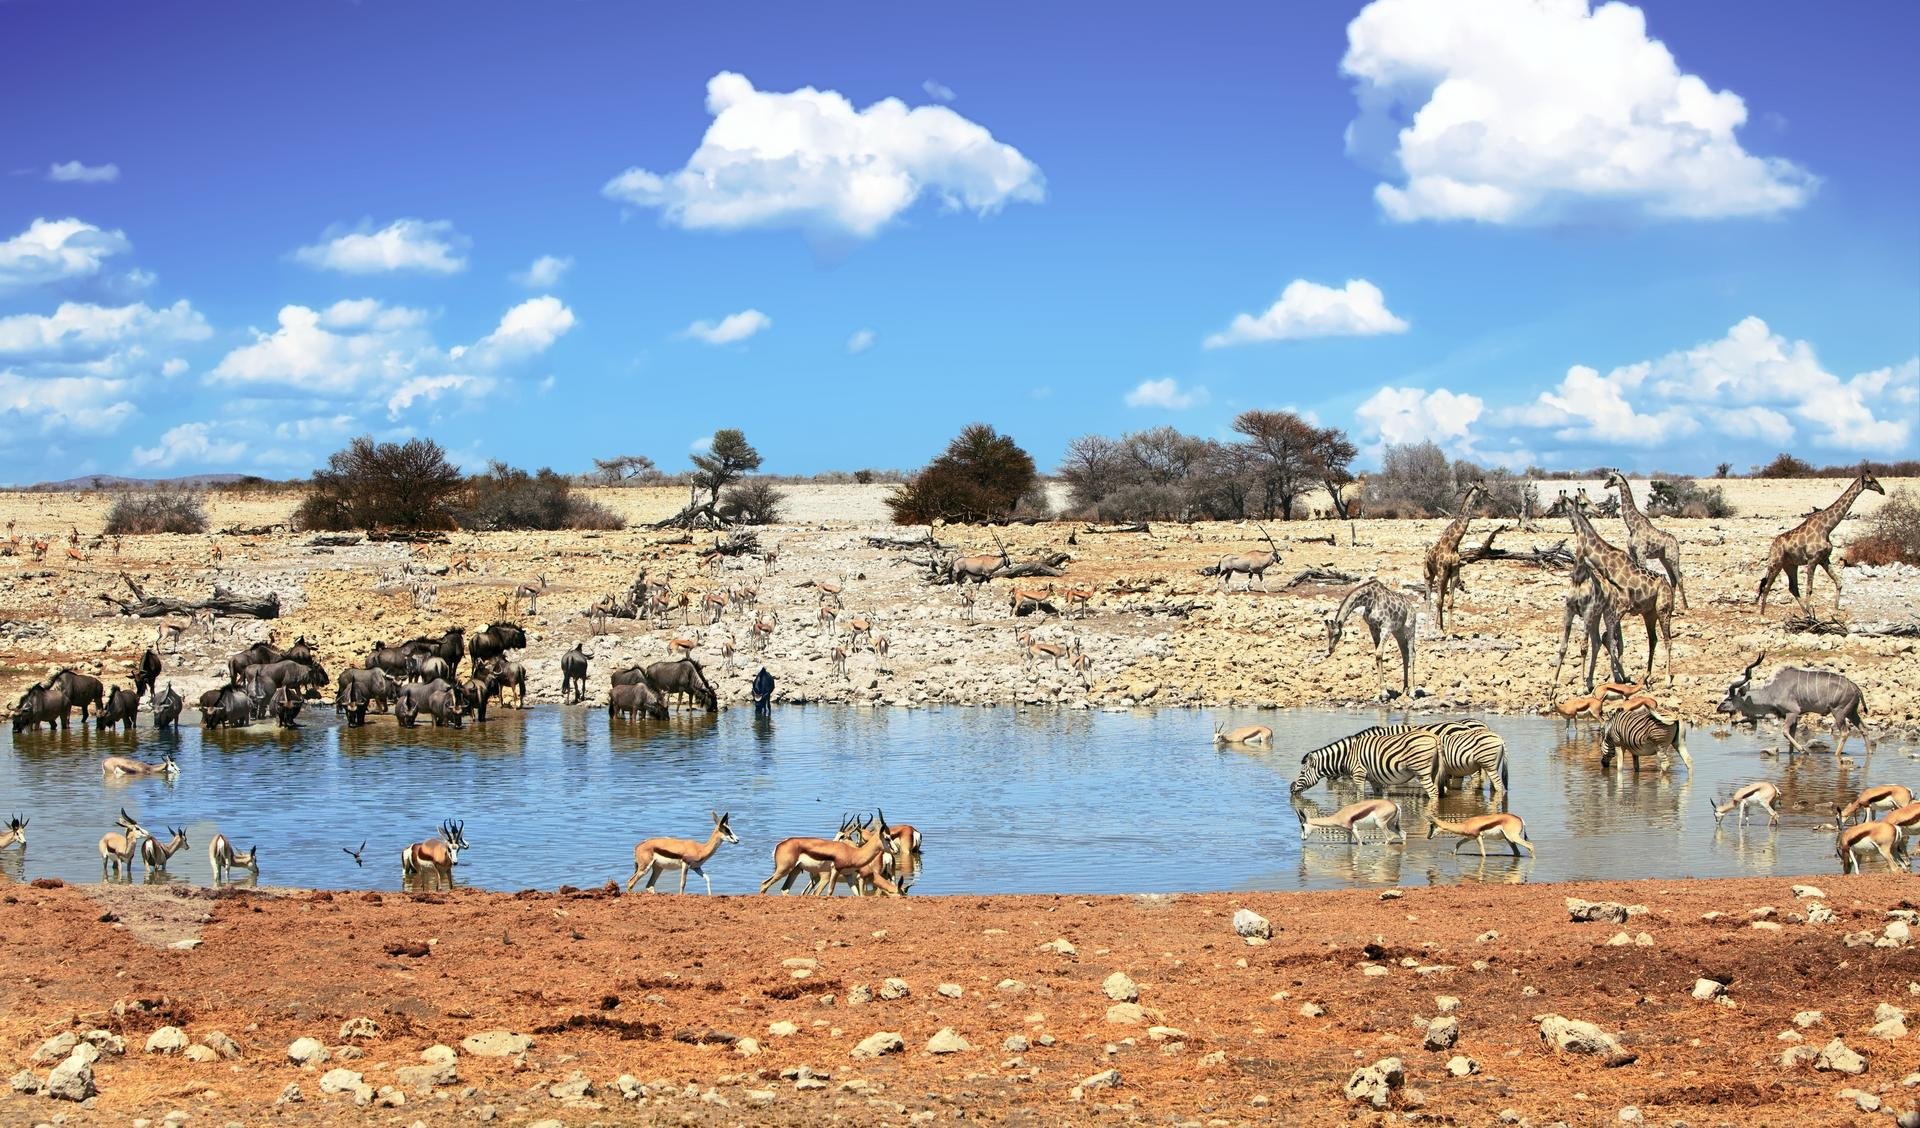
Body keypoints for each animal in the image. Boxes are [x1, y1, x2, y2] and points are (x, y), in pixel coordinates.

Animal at [1290, 725, 1443, 805]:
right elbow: (1377, 797)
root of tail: (1434, 737)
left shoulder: (1359, 774)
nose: (1291, 789)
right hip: (1434, 770)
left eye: (1302, 773)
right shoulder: (1374, 778)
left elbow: (1360, 797)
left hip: (1421, 770)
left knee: (1433, 793)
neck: (1347, 755)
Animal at [1420, 479, 1489, 629]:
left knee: (1440, 597)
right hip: (1429, 575)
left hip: (1444, 577)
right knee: (1429, 599)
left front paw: (1449, 630)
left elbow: (1450, 601)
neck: (1453, 544)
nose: (1491, 495)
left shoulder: (1454, 572)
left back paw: (1439, 625)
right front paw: (1437, 629)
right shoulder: (1441, 572)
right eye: (1483, 489)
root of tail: (1426, 555)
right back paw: (1428, 628)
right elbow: (1438, 600)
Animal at [1566, 489, 1674, 682]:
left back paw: (1667, 678)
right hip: (1649, 613)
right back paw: (1646, 676)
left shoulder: (1620, 607)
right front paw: (1620, 676)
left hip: (1663, 609)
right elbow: (1614, 640)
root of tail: (1667, 584)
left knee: (1667, 639)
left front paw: (1619, 676)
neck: (1607, 564)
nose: (1599, 512)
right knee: (1653, 639)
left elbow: (1611, 639)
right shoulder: (1616, 610)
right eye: (1584, 502)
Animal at [1605, 466, 1681, 606]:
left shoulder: (1641, 553)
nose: (1605, 485)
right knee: (1673, 578)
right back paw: (1672, 604)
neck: (1632, 526)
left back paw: (1685, 606)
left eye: (1611, 478)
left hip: (1672, 557)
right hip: (1663, 558)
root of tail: (1676, 543)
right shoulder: (1633, 552)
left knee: (1680, 577)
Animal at [1758, 470, 1889, 617]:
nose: (1882, 490)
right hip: (1776, 563)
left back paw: (1805, 613)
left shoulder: (1824, 559)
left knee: (1792, 587)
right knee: (1767, 586)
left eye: (1876, 479)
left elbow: (1839, 582)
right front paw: (1812, 615)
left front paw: (1835, 610)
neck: (1827, 528)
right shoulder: (1812, 560)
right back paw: (1762, 614)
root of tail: (1772, 547)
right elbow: (1809, 588)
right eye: (1870, 481)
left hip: (1790, 565)